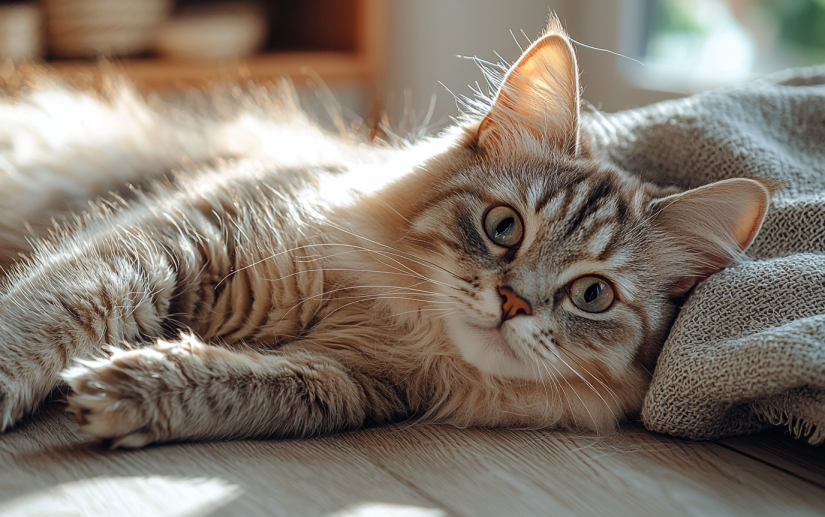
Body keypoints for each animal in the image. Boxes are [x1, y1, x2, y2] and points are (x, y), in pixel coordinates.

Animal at [0, 16, 772, 444]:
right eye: (503, 226)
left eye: (591, 295)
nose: (513, 302)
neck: (409, 324)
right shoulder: (178, 238)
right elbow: (49, 315)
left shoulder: (345, 382)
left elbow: (236, 384)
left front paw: (127, 393)